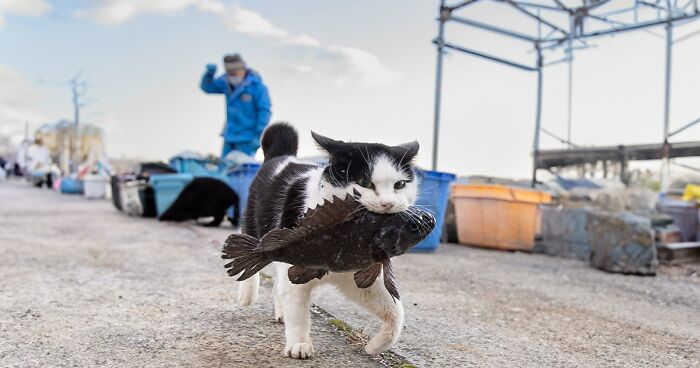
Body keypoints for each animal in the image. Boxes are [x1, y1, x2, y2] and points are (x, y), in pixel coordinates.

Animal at [238, 122, 418, 358]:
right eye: (364, 182)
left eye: (399, 184)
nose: (388, 203)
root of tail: (283, 156)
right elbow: (298, 310)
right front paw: (299, 343)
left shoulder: (354, 277)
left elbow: (395, 311)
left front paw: (376, 345)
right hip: (254, 223)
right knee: (251, 253)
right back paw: (247, 294)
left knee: (278, 285)